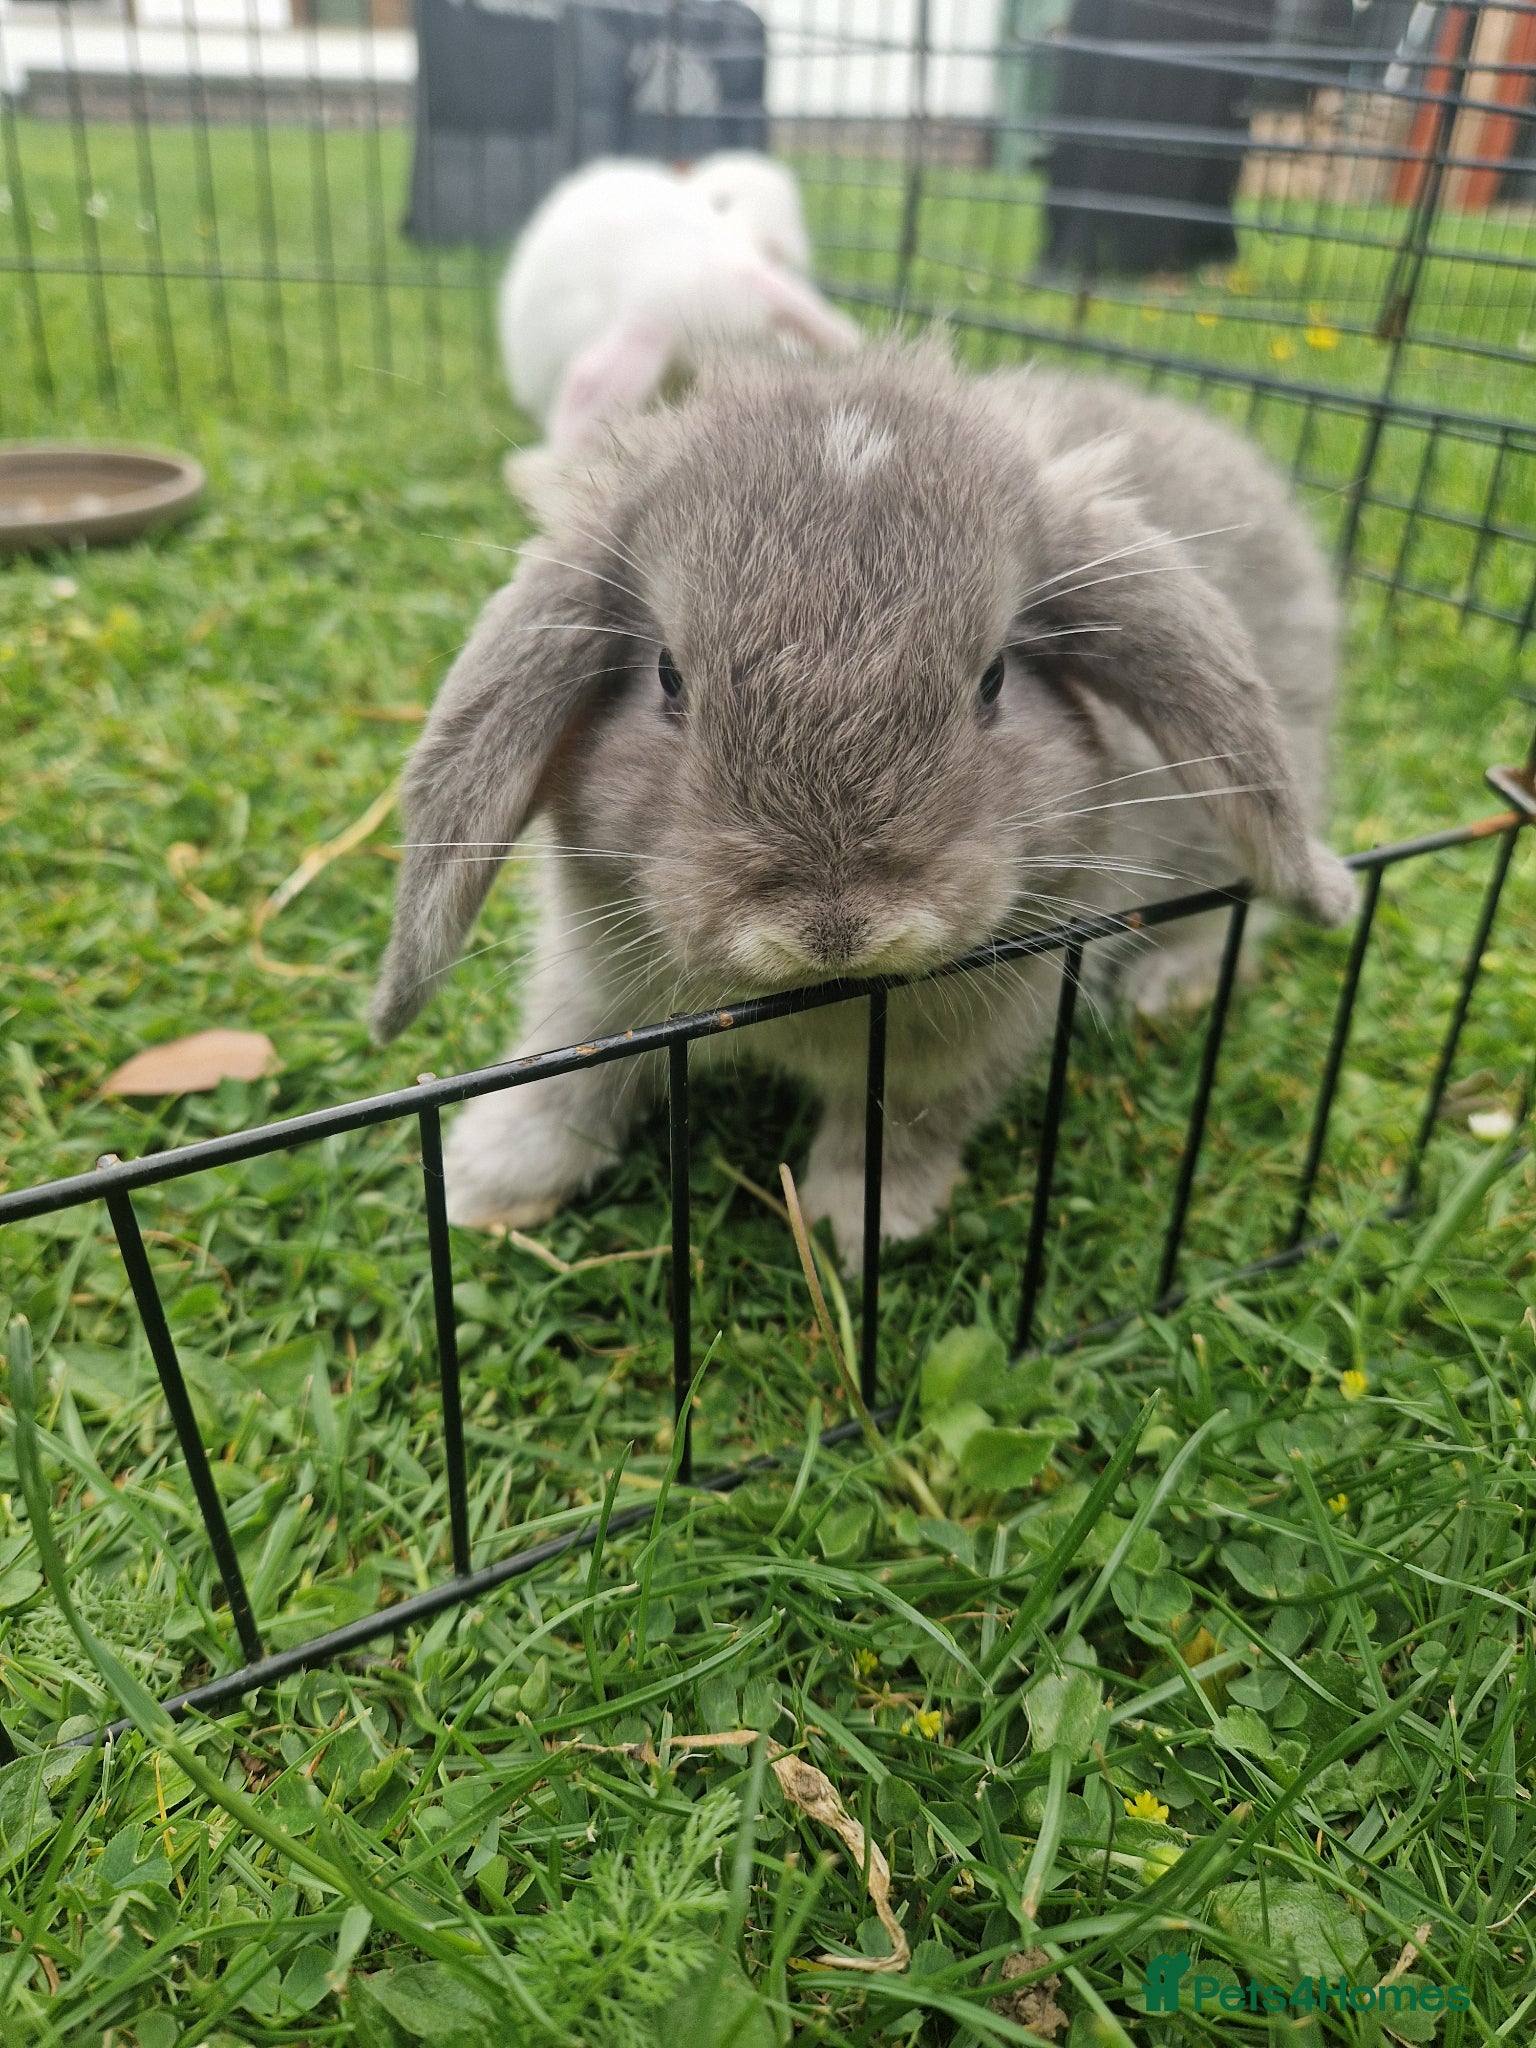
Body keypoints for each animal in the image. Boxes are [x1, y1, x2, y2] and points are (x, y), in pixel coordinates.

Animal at [371, 341, 1354, 1269]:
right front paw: (484, 1185)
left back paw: (1164, 989)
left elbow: (901, 1124)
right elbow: (566, 1078)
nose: (834, 927)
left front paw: (863, 1226)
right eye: (667, 678)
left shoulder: (957, 1055)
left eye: (994, 680)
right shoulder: (591, 996)